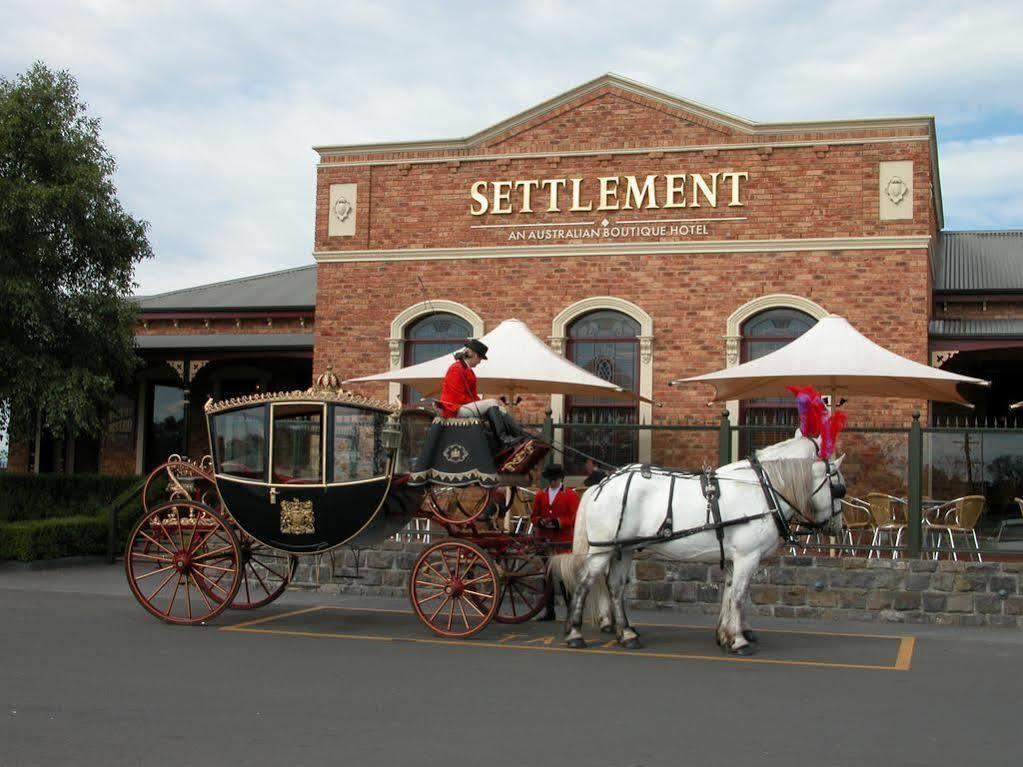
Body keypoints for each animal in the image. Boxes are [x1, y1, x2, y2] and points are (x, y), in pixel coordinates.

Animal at [564, 435, 842, 658]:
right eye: (838, 488)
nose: (838, 528)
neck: (762, 489)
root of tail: (600, 486)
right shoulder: (747, 557)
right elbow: (739, 596)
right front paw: (738, 640)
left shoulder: (735, 558)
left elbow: (729, 594)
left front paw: (726, 636)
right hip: (602, 550)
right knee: (584, 582)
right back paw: (575, 634)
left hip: (624, 549)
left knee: (615, 586)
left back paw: (627, 634)